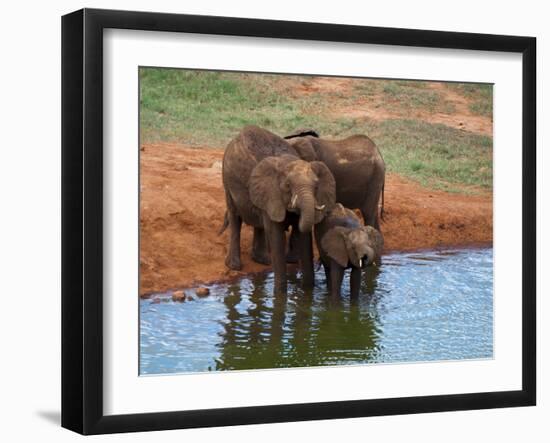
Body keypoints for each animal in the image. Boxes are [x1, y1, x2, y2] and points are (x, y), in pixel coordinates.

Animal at [220, 125, 336, 294]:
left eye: (316, 186)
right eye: (288, 186)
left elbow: (303, 235)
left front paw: (307, 291)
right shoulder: (272, 193)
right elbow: (275, 235)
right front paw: (280, 294)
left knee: (259, 222)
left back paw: (263, 260)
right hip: (227, 180)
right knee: (235, 216)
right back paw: (234, 266)